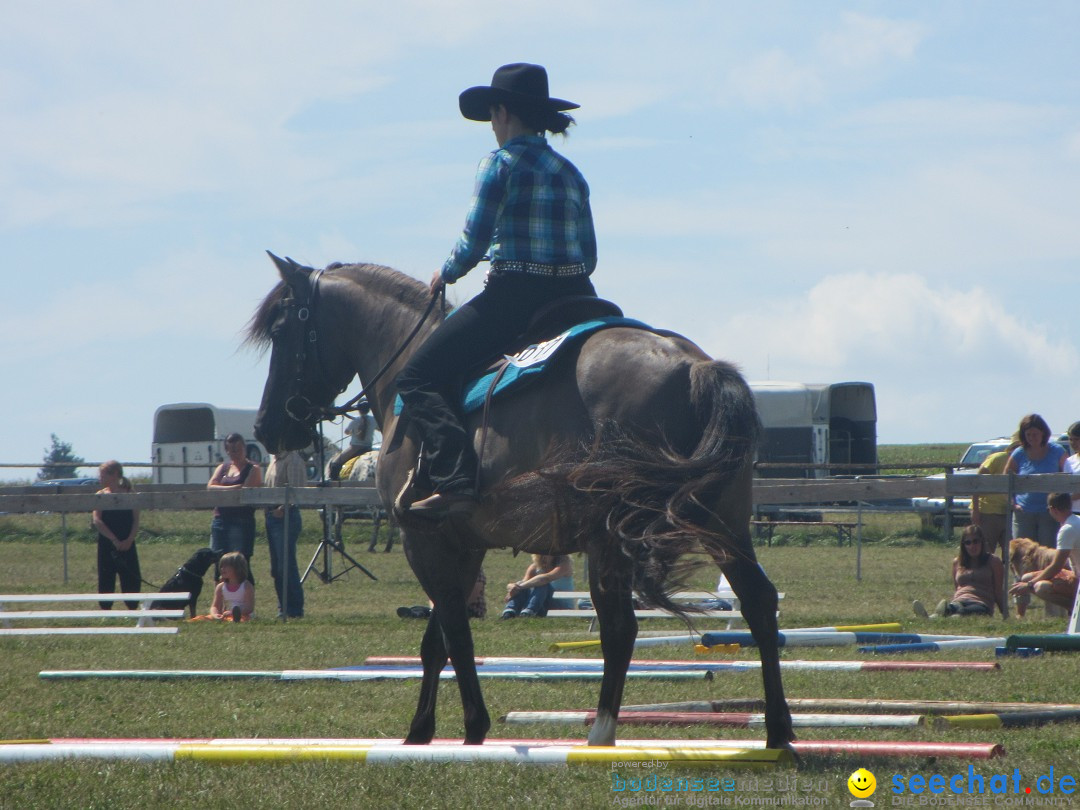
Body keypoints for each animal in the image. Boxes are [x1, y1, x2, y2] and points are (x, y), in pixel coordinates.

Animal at [248, 254, 799, 756]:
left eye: (282, 329)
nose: (267, 427)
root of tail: (695, 366)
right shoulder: (461, 544)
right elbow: (436, 641)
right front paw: (420, 732)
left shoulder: (421, 539)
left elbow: (456, 636)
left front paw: (471, 728)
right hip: (724, 522)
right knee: (757, 602)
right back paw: (778, 732)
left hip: (613, 537)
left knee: (621, 628)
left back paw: (601, 734)